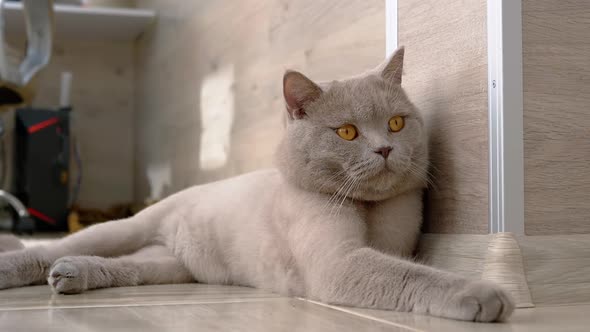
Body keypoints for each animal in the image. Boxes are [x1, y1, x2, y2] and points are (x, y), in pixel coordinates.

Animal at [0, 47, 512, 322]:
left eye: (397, 122)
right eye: (347, 132)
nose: (385, 149)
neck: (371, 209)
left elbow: (404, 264)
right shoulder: (338, 264)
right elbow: (409, 275)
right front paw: (483, 293)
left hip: (170, 266)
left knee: (125, 267)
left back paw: (71, 275)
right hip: (127, 228)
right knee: (52, 248)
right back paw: (25, 264)